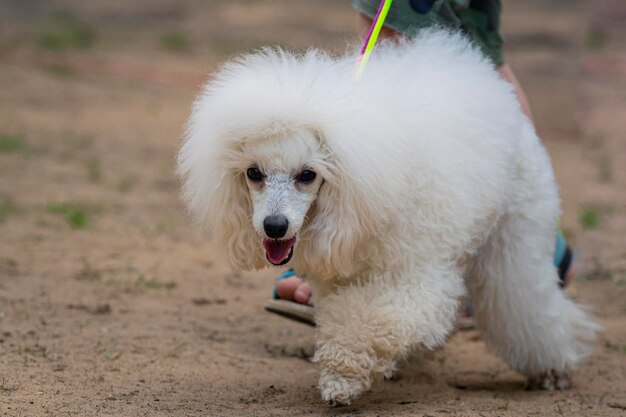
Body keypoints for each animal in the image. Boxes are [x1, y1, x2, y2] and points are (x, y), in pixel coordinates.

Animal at [178, 30, 596, 404]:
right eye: (253, 173)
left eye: (308, 175)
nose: (274, 226)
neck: (357, 202)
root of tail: (503, 97)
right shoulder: (338, 277)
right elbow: (345, 315)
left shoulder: (416, 276)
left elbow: (372, 318)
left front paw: (342, 378)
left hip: (513, 239)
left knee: (528, 304)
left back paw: (552, 368)